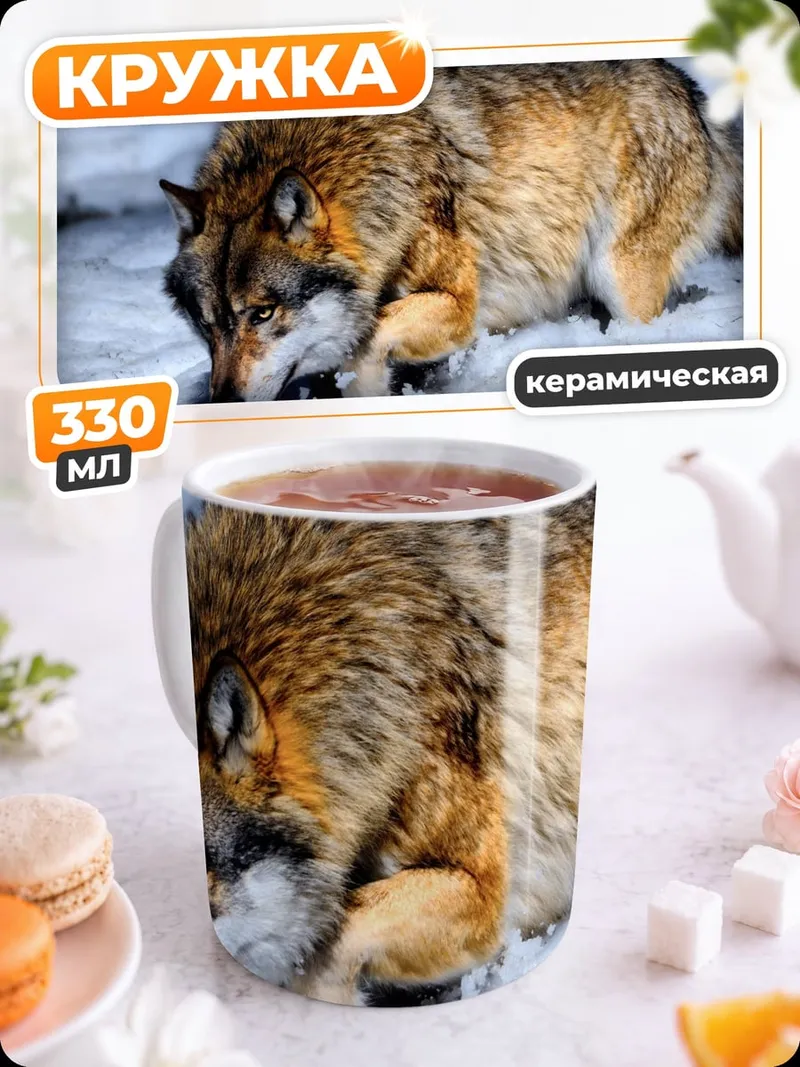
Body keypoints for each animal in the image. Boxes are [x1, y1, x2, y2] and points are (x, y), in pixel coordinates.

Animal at [160, 60, 742, 403]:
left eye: (262, 314)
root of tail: (689, 89)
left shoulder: (459, 306)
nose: (222, 403)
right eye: (205, 323)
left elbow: (372, 336)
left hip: (619, 278)